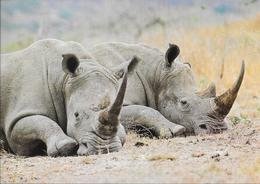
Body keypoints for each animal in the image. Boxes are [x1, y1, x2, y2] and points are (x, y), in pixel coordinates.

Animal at [0, 39, 138, 157]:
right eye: (76, 115)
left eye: (120, 117)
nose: (104, 149)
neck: (63, 80)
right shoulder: (17, 121)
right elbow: (42, 123)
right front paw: (66, 146)